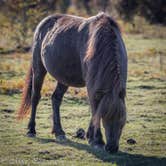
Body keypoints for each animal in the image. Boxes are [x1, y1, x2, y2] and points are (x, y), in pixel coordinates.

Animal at [17, 12, 127, 154]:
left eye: (122, 120)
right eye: (105, 118)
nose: (112, 148)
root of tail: (44, 22)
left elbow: (95, 109)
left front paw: (90, 136)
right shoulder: (92, 86)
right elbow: (95, 109)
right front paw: (97, 140)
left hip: (64, 78)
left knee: (56, 99)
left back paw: (59, 132)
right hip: (38, 69)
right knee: (35, 97)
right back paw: (31, 130)